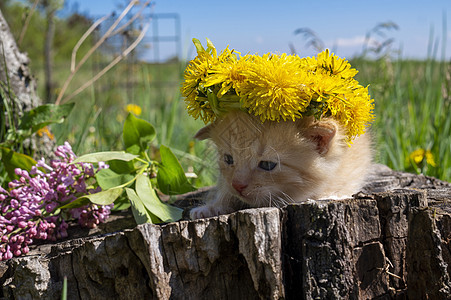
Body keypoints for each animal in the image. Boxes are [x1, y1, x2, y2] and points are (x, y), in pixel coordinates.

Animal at [189, 110, 372, 218]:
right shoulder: (226, 180)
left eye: (267, 165)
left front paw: (331, 195)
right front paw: (212, 207)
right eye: (228, 159)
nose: (238, 185)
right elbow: (224, 188)